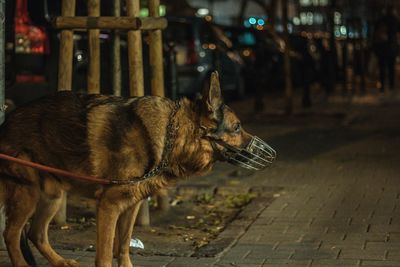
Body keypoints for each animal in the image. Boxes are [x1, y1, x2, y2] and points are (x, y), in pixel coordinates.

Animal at [0, 72, 276, 266]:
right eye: (237, 127)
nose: (272, 154)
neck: (171, 136)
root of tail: (5, 120)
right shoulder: (109, 207)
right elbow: (105, 255)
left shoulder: (130, 206)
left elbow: (122, 248)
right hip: (28, 194)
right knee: (12, 234)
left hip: (53, 196)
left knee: (36, 234)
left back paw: (60, 261)